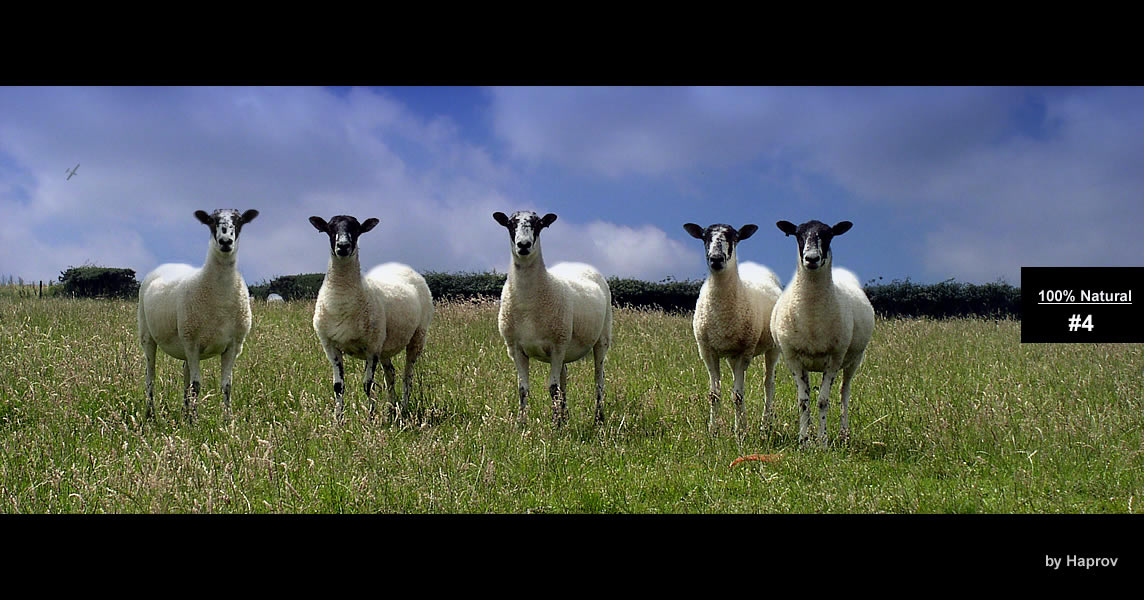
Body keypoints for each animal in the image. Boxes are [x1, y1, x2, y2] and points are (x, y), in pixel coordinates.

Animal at [138, 208, 259, 422]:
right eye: (211, 221)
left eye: (239, 221)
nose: (225, 241)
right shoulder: (192, 344)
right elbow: (196, 386)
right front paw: (195, 421)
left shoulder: (233, 346)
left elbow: (226, 386)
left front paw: (227, 421)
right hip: (148, 335)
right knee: (150, 376)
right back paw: (151, 415)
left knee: (185, 375)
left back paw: (184, 412)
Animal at [309, 215, 433, 421]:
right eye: (330, 228)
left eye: (356, 229)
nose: (343, 246)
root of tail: (399, 265)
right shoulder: (330, 346)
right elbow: (338, 386)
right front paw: (338, 420)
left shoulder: (372, 347)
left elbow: (368, 384)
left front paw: (371, 417)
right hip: (385, 343)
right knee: (390, 374)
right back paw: (392, 408)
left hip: (417, 336)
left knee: (407, 376)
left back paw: (403, 408)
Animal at [493, 211, 613, 427]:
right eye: (510, 224)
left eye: (539, 224)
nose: (523, 245)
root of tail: (580, 264)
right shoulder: (515, 349)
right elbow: (523, 389)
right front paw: (522, 424)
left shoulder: (557, 346)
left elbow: (552, 388)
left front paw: (555, 425)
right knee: (565, 379)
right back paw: (565, 416)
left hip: (602, 338)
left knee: (599, 380)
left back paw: (598, 419)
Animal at [683, 222, 783, 436]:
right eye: (705, 237)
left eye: (734, 238)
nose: (716, 259)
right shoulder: (707, 351)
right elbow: (714, 395)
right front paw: (713, 430)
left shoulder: (745, 351)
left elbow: (737, 395)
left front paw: (740, 432)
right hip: (730, 355)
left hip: (772, 348)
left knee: (768, 384)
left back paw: (765, 425)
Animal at [770, 219, 875, 446]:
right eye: (798, 235)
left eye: (828, 235)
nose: (811, 258)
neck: (812, 316)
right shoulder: (793, 358)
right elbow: (803, 401)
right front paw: (804, 441)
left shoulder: (835, 358)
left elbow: (823, 401)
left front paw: (823, 442)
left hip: (855, 359)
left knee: (845, 393)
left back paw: (844, 434)